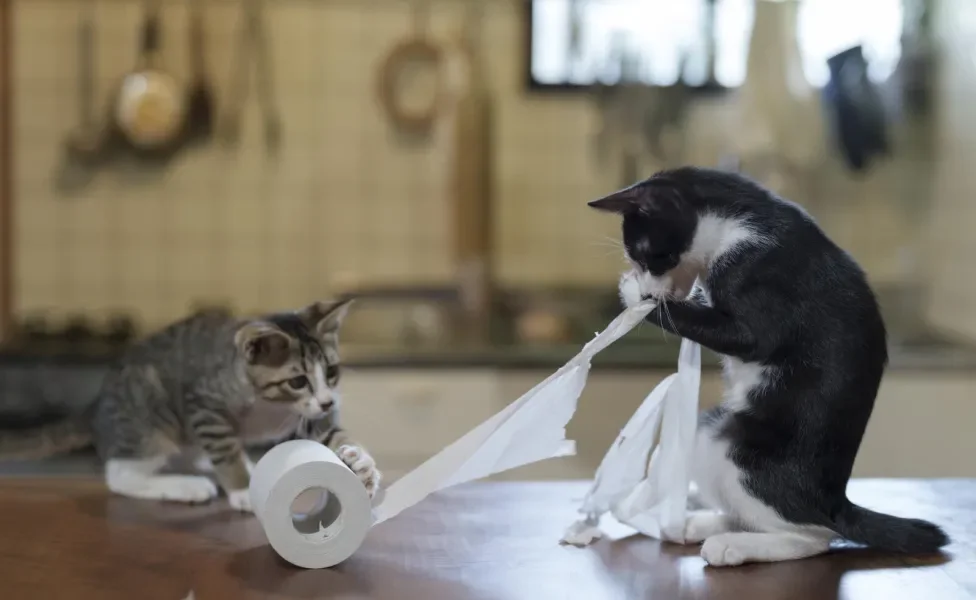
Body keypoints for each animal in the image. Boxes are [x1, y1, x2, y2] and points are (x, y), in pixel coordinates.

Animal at [0, 300, 380, 510]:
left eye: (331, 372)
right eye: (298, 381)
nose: (328, 400)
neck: (272, 405)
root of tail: (96, 403)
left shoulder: (312, 415)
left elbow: (331, 431)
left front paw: (360, 462)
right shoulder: (205, 404)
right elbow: (224, 450)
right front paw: (241, 489)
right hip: (151, 418)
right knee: (121, 474)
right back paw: (184, 486)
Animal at [592, 168, 948, 568]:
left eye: (646, 256)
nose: (646, 281)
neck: (742, 219)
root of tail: (834, 501)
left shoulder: (761, 278)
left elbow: (741, 335)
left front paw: (636, 295)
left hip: (737, 445)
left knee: (813, 536)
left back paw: (732, 546)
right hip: (709, 426)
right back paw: (697, 524)